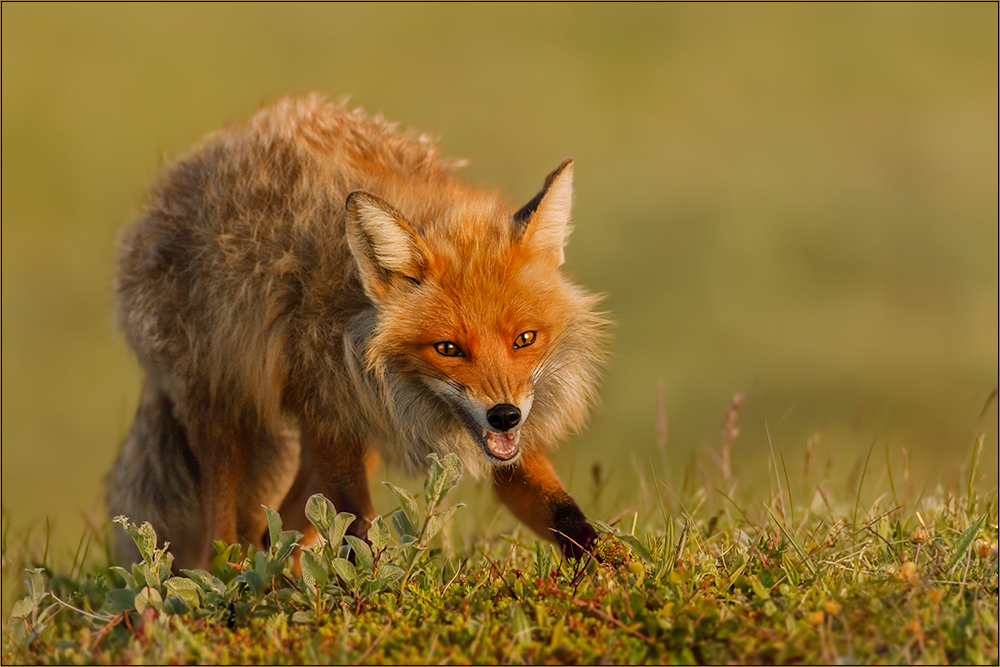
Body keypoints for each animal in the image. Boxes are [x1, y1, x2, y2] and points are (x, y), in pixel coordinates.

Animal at [109, 95, 608, 568]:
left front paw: (610, 570)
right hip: (224, 411)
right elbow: (357, 529)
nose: (505, 416)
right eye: (448, 348)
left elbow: (564, 513)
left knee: (275, 532)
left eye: (525, 339)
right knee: (226, 537)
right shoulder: (332, 416)